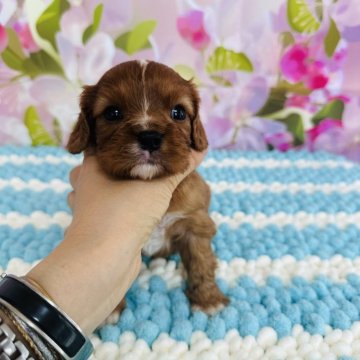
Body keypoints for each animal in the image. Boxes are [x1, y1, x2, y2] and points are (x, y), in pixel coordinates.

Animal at [67, 59, 228, 312]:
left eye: (178, 112)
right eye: (112, 113)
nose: (150, 137)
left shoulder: (196, 223)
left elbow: (201, 261)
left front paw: (208, 299)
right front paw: (111, 310)